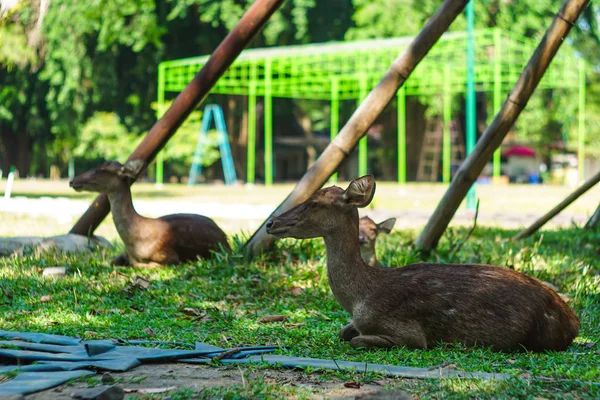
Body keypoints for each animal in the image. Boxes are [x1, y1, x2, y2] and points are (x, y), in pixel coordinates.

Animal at [69, 159, 230, 266]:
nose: (72, 181)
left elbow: (141, 265)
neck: (134, 242)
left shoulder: (169, 256)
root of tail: (226, 237)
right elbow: (111, 261)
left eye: (101, 170)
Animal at [264, 177, 580, 352]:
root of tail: (573, 322)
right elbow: (344, 332)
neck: (359, 298)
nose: (270, 223)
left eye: (315, 203)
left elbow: (356, 340)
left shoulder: (409, 333)